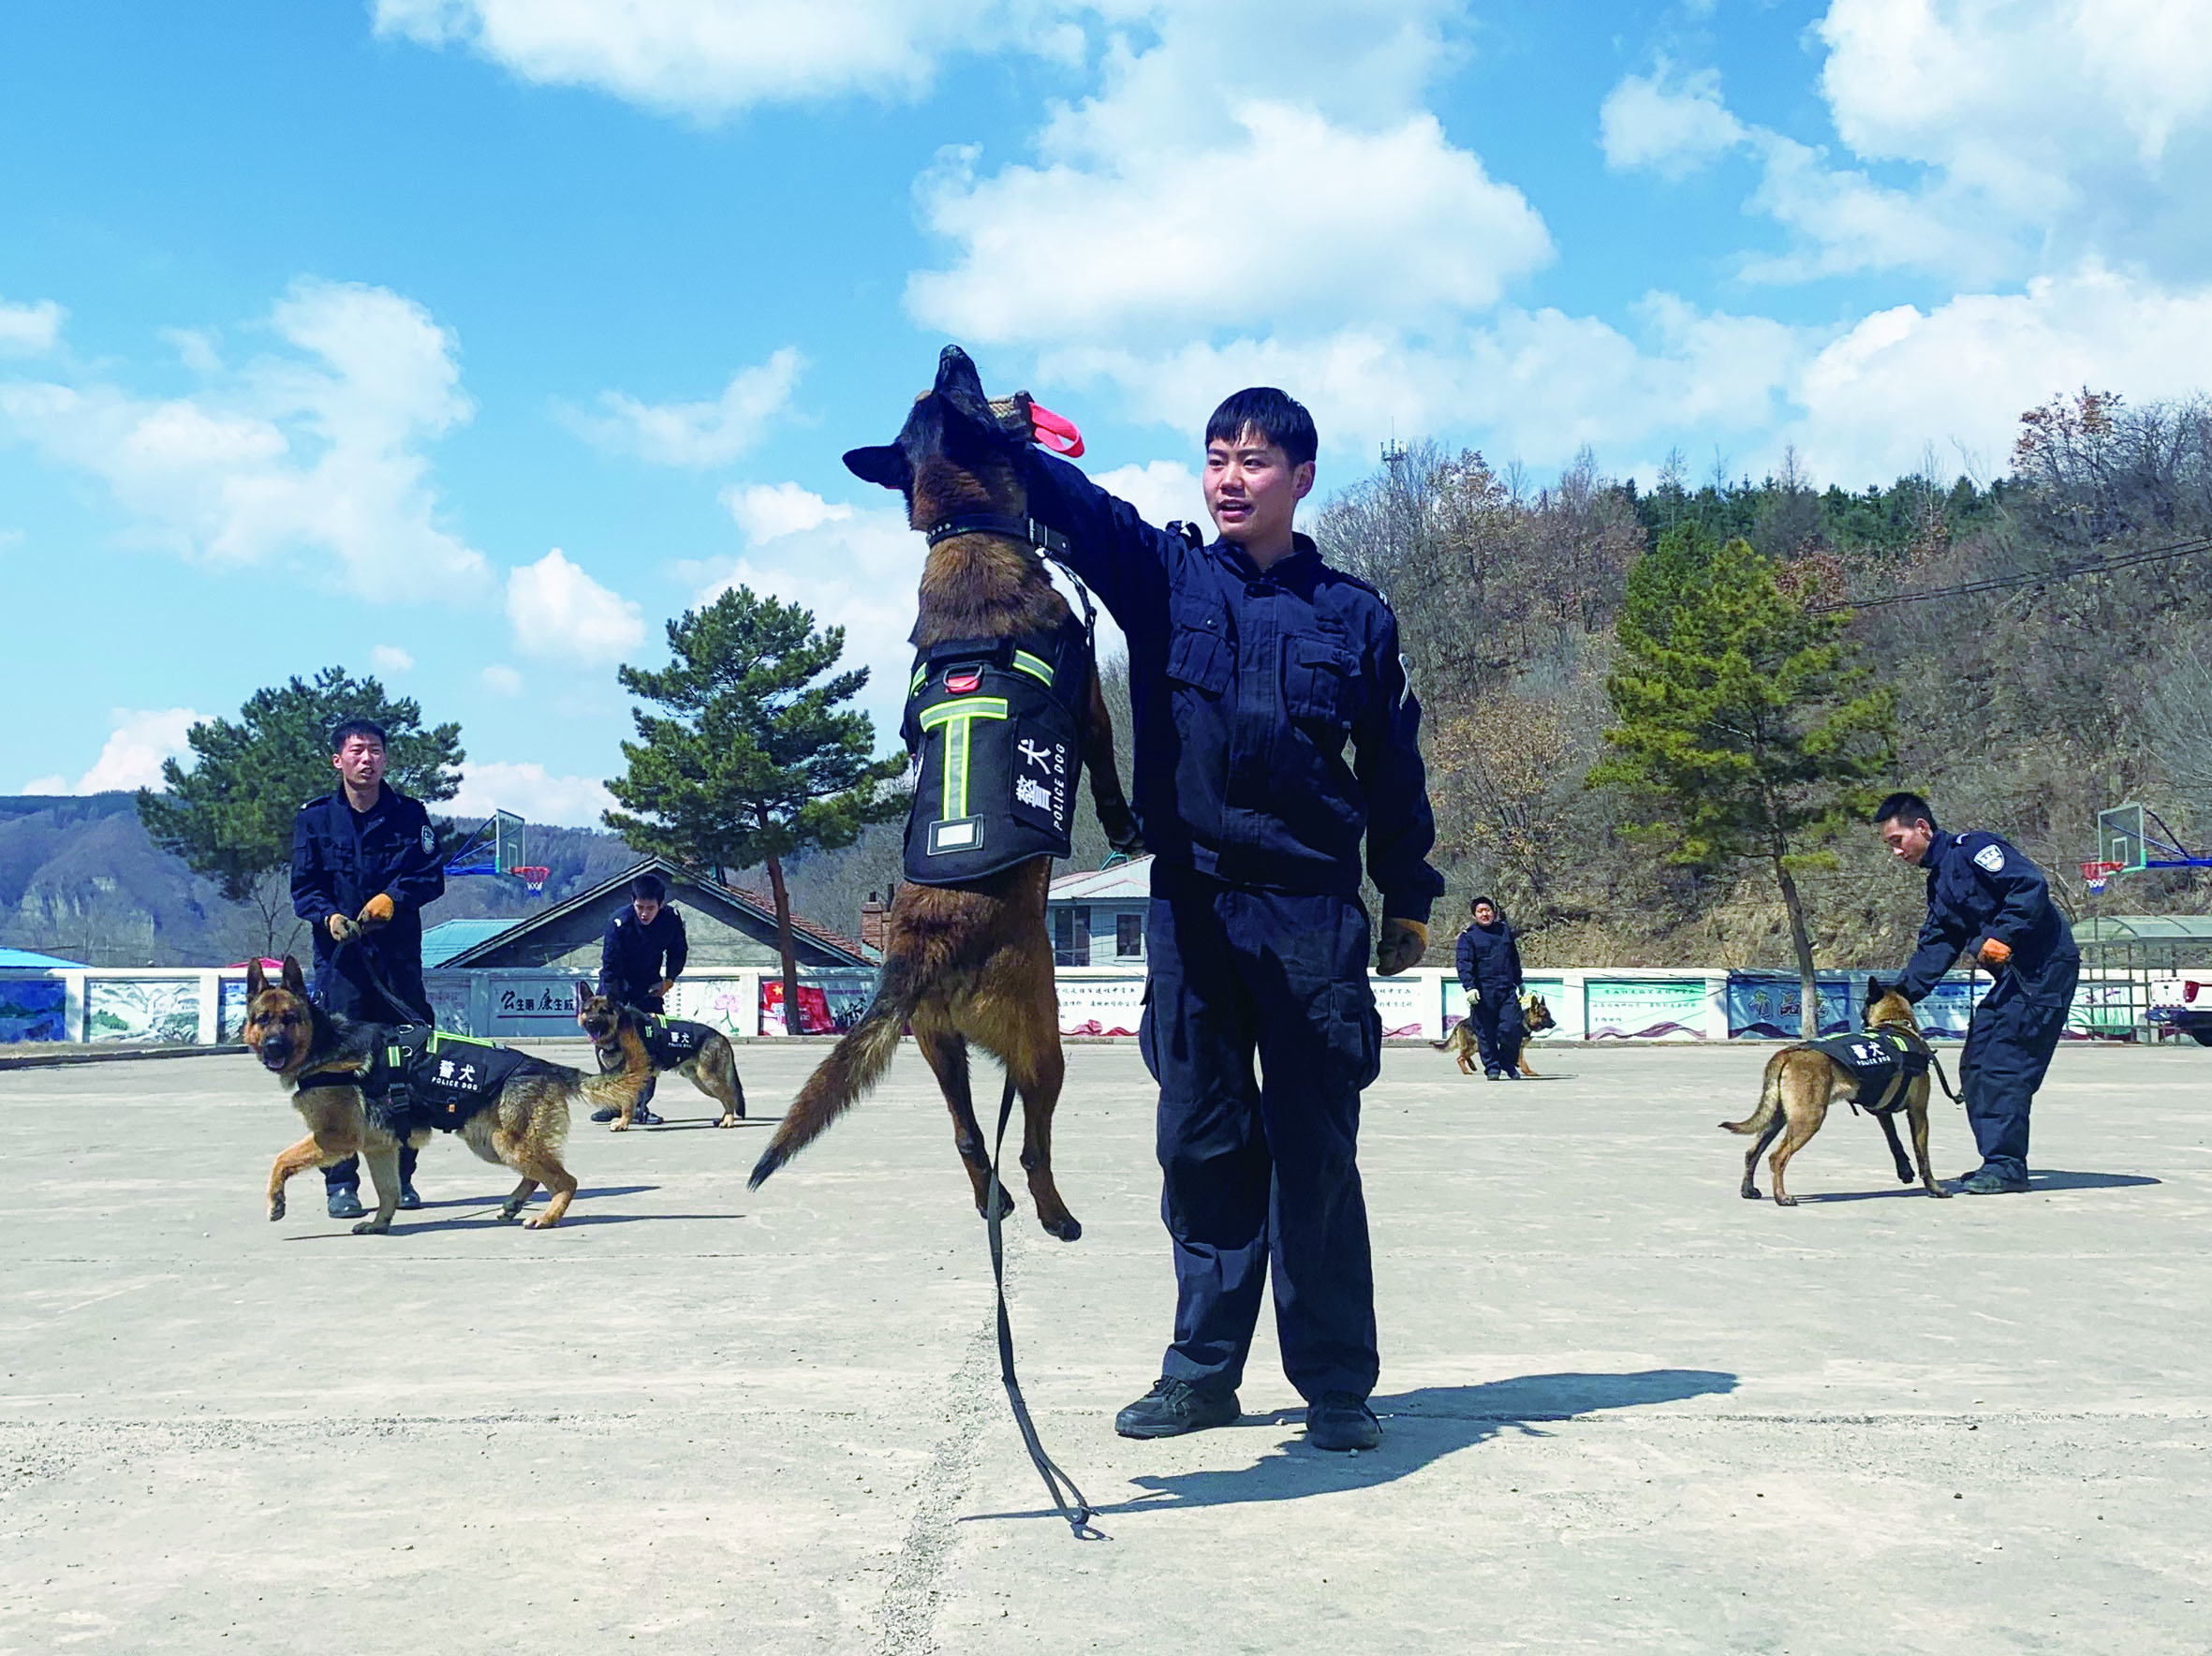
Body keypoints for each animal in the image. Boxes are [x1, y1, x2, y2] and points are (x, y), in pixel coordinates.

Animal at [249, 954, 650, 1229]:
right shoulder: (379, 1147)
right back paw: (514, 1205)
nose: (272, 1046)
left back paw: (548, 1216)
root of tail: (545, 1066)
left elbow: (280, 1160)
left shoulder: (336, 1138)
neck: (323, 1043)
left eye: (289, 1019)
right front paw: (380, 1224)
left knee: (566, 1180)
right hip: (491, 1143)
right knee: (538, 1175)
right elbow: (387, 1191)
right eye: (262, 1020)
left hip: (505, 1143)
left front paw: (275, 1202)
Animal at [570, 990, 752, 1131]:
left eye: (603, 1011)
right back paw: (723, 1119)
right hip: (701, 1081)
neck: (619, 1028)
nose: (591, 1023)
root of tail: (720, 1036)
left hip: (709, 1079)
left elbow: (627, 1104)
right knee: (727, 1097)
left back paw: (728, 1121)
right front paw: (625, 1120)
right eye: (587, 1010)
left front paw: (623, 1123)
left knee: (730, 1097)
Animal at [756, 342, 1150, 1237]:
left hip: (938, 1049)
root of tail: (921, 950)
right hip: (1042, 1040)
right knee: (1030, 1140)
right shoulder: (1093, 713)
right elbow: (1113, 784)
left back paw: (992, 1205)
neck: (966, 529)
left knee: (972, 1139)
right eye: (958, 387)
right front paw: (1130, 830)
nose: (949, 348)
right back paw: (1055, 1216)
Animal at [1433, 990, 1556, 1078]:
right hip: (1473, 1046)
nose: (1555, 1023)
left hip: (1476, 1046)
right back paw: (1466, 1071)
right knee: (1460, 1058)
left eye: (1550, 1015)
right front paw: (1528, 1072)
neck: (1525, 1021)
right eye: (1545, 1015)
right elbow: (1523, 1062)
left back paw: (1472, 1067)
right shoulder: (1517, 1046)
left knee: (1464, 1056)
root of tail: (1461, 1022)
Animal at [1716, 977, 1946, 1211]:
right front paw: (1934, 1188)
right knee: (1776, 1157)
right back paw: (1782, 1197)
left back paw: (1748, 1190)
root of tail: (1787, 1053)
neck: (1895, 1025)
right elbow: (1923, 1156)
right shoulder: (1919, 1113)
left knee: (1752, 1152)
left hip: (1777, 1118)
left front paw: (1905, 1171)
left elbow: (1895, 1142)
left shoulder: (1883, 1113)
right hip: (1808, 1119)